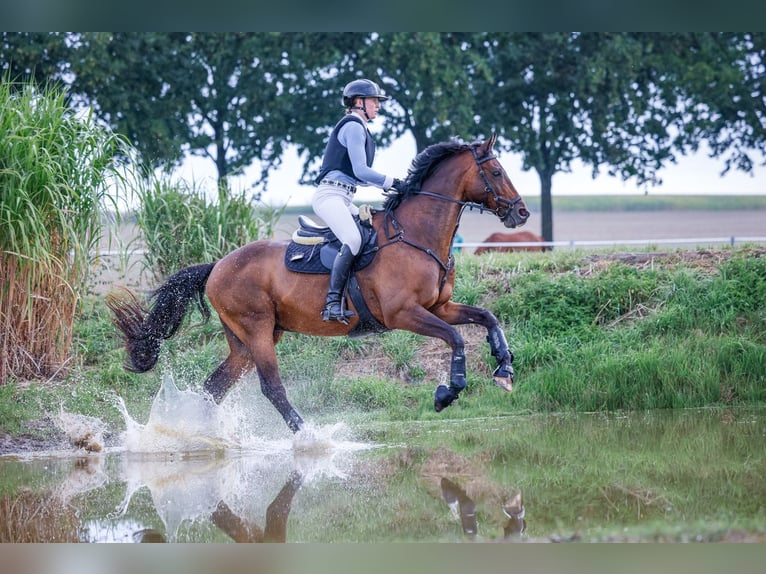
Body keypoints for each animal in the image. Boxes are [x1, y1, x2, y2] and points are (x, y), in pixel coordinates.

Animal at [106, 133, 528, 434]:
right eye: (496, 173)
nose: (521, 213)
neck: (416, 235)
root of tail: (217, 266)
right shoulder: (404, 313)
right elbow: (455, 338)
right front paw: (448, 391)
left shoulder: (440, 307)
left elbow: (487, 317)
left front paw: (504, 371)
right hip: (257, 331)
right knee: (271, 387)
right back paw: (307, 436)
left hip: (246, 340)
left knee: (216, 387)